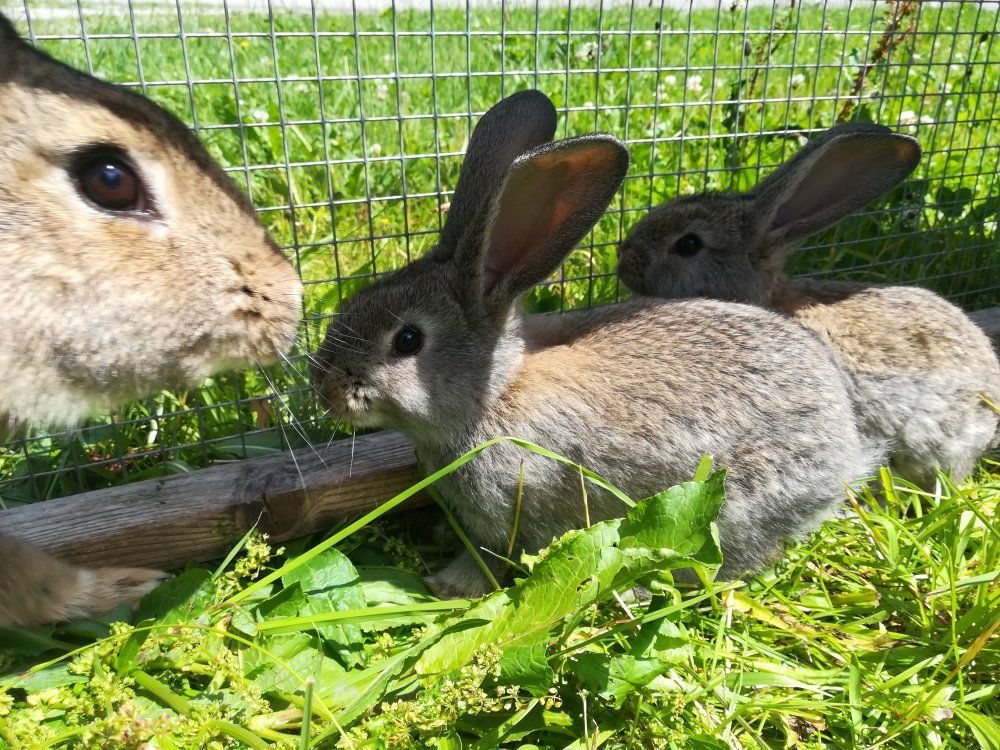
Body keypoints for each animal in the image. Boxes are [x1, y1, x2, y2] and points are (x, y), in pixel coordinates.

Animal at [312, 90, 878, 600]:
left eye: (408, 340)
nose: (326, 387)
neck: (494, 395)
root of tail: (846, 449)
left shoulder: (513, 510)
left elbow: (493, 558)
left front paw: (446, 585)